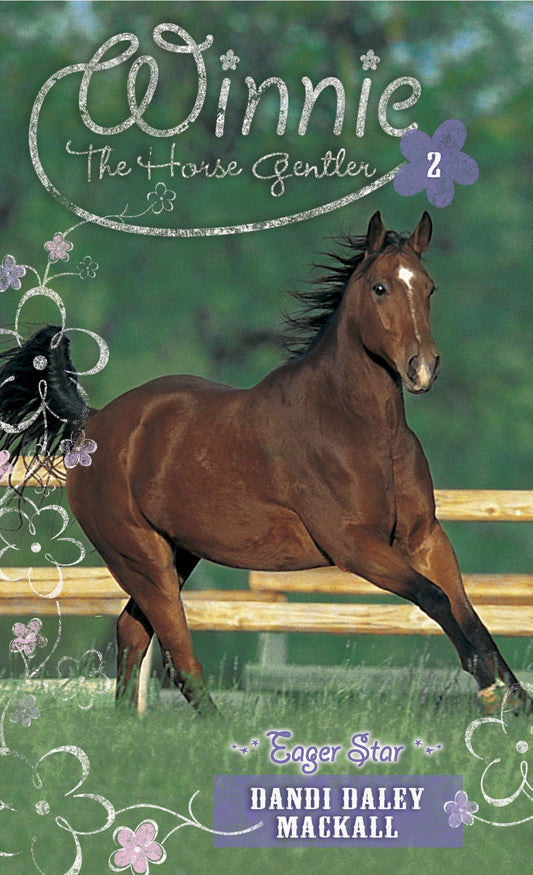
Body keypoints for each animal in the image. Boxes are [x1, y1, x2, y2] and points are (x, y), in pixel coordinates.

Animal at [0, 211, 529, 714]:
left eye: (428, 287)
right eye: (380, 288)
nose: (422, 369)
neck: (364, 430)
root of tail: (92, 423)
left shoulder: (425, 537)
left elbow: (470, 615)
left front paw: (516, 700)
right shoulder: (355, 546)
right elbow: (435, 599)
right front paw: (491, 692)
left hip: (177, 553)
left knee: (132, 631)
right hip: (141, 558)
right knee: (177, 650)